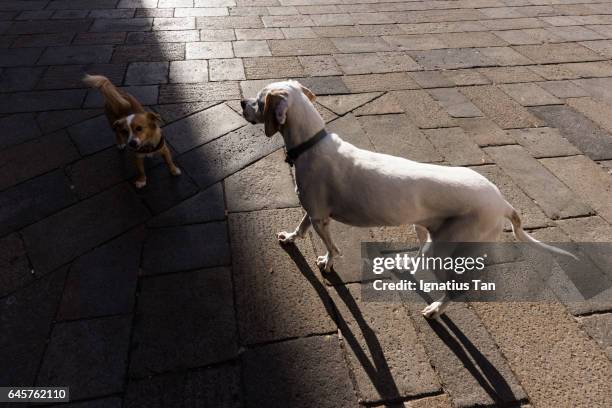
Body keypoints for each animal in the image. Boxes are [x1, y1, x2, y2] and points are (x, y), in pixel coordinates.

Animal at [240, 80, 572, 318]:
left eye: (258, 99)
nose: (241, 102)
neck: (310, 144)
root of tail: (502, 201)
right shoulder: (313, 210)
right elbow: (300, 227)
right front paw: (289, 238)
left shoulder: (321, 217)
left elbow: (331, 248)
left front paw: (327, 262)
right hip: (427, 229)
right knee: (421, 251)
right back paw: (403, 264)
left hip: (448, 247)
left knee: (455, 287)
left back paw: (436, 309)